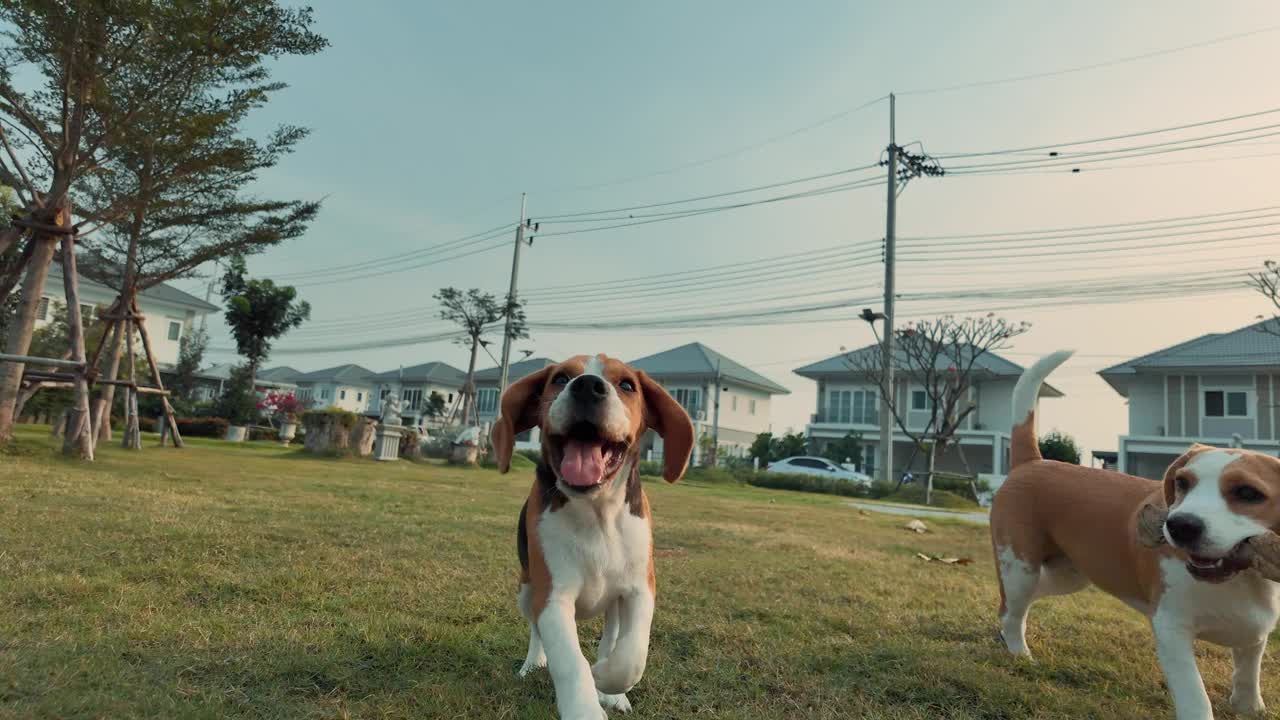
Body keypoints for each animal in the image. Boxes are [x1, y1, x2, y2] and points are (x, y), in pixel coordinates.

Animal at [488, 353, 696, 717]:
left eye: (627, 384)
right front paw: (584, 706)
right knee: (535, 632)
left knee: (611, 638)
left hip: (612, 603)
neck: (596, 511)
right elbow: (571, 662)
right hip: (526, 591)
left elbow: (631, 656)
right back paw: (532, 664)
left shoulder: (641, 589)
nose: (586, 386)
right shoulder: (552, 597)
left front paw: (605, 680)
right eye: (559, 378)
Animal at [993, 351, 1280, 717]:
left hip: (1069, 575)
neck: (1242, 579)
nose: (1179, 526)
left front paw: (1249, 706)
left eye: (1247, 493)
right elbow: (1195, 696)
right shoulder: (1171, 628)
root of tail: (1031, 462)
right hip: (1020, 567)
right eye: (1182, 483)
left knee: (1025, 600)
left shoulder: (1254, 633)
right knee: (1011, 611)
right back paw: (1018, 652)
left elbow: (1248, 675)